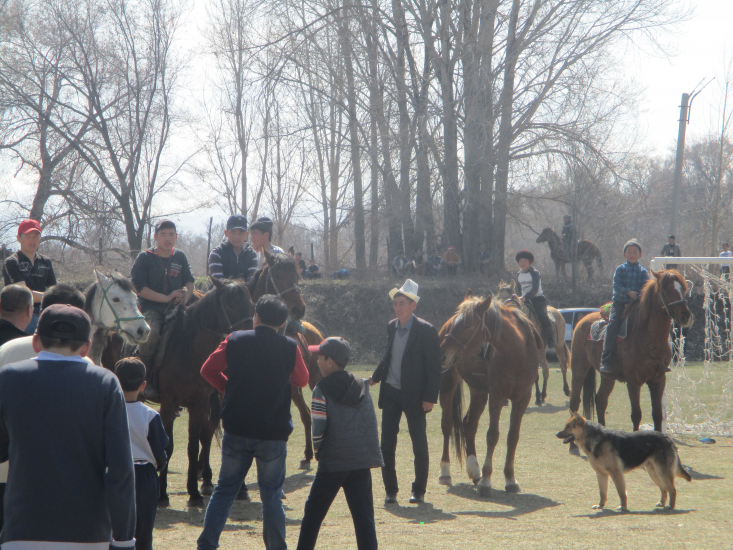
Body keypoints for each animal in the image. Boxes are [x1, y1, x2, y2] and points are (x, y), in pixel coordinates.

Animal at [247, 250, 324, 470]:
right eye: (278, 276)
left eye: (297, 276)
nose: (299, 308)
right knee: (305, 414)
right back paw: (307, 455)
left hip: (311, 381)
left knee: (309, 413)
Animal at [438, 296, 540, 498]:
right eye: (457, 324)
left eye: (468, 325)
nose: (442, 353)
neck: (517, 352)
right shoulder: (496, 396)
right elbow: (492, 435)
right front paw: (486, 481)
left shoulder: (522, 398)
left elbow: (513, 437)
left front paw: (510, 479)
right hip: (448, 382)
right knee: (447, 425)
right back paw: (446, 472)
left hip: (478, 392)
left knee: (469, 424)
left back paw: (474, 471)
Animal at [556, 414, 688, 512]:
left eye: (568, 426)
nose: (556, 434)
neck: (595, 439)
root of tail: (668, 439)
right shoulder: (601, 475)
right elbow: (602, 493)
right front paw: (601, 506)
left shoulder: (616, 473)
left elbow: (621, 492)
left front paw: (623, 507)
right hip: (654, 473)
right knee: (664, 488)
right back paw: (661, 503)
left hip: (662, 472)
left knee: (672, 490)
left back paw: (670, 506)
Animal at [568, 270, 696, 454]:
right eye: (667, 290)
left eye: (684, 290)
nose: (686, 317)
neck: (647, 336)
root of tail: (582, 321)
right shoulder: (633, 381)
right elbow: (636, 414)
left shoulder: (658, 379)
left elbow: (657, 414)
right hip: (579, 369)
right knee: (575, 401)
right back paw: (572, 444)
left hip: (608, 376)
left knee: (600, 400)